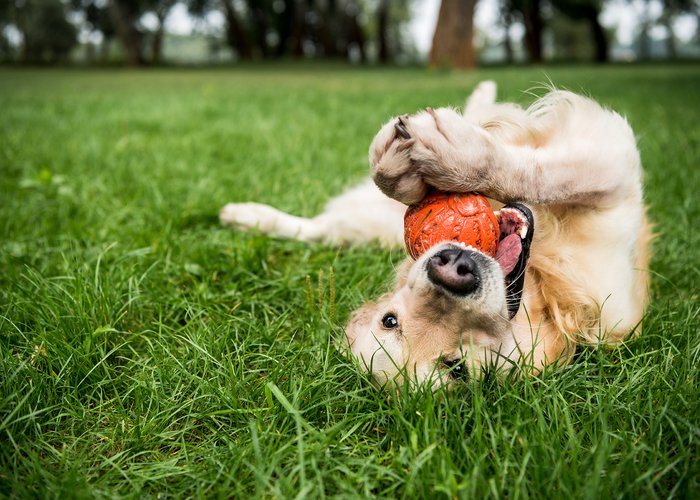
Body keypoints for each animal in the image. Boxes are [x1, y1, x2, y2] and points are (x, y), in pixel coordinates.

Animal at [221, 81, 652, 386]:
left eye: (388, 320)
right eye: (456, 367)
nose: (453, 268)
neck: (542, 287)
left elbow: (539, 171)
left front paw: (445, 158)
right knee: (320, 229)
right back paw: (245, 216)